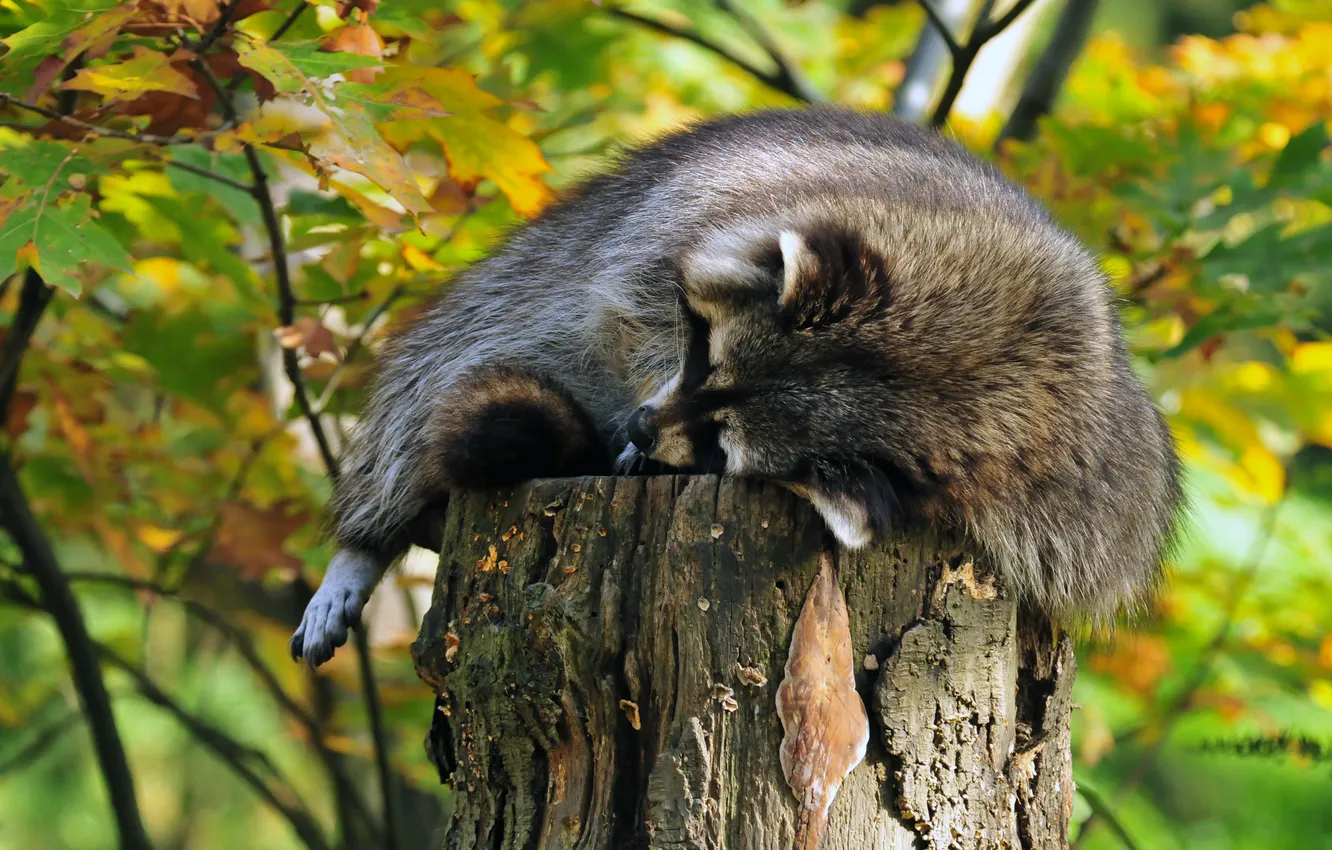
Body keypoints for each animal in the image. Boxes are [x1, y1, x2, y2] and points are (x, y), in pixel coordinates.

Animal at [290, 107, 1184, 667]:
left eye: (724, 445)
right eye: (702, 353)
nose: (641, 431)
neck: (982, 357)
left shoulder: (1079, 498)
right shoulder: (715, 205)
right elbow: (627, 297)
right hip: (526, 274)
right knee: (442, 377)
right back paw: (367, 540)